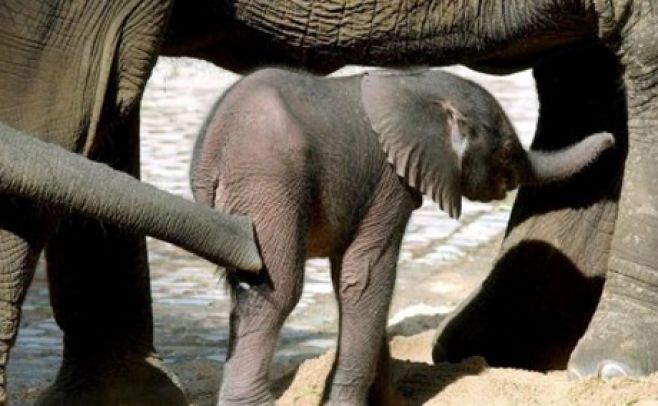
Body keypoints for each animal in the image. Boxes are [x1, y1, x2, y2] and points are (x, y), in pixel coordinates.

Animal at [189, 67, 614, 405]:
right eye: (508, 150)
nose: (611, 137)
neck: (413, 84)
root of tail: (215, 147)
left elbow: (352, 283)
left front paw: (393, 402)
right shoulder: (389, 185)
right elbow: (368, 278)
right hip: (268, 185)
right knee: (275, 293)